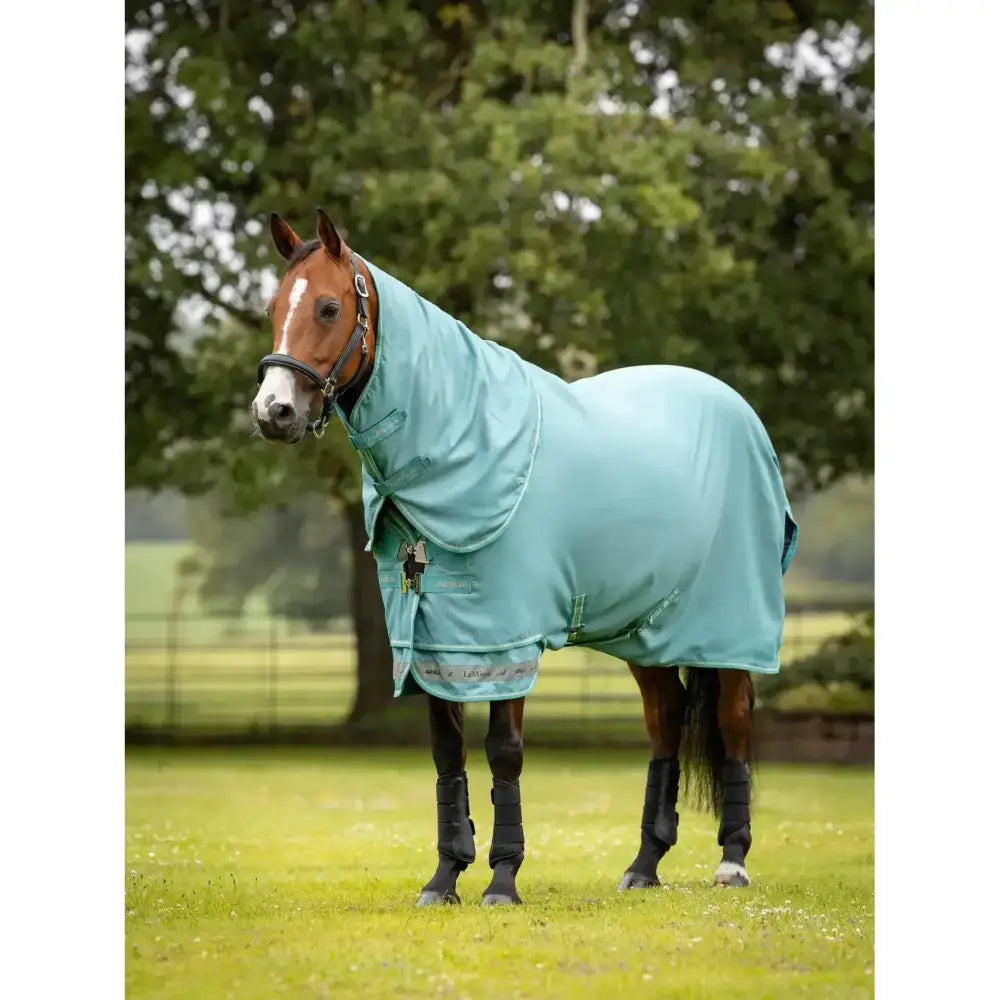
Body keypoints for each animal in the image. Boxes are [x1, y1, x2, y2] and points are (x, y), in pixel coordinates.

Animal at [251, 209, 798, 907]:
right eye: (273, 308)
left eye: (326, 306)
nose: (274, 412)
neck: (462, 435)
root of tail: (741, 414)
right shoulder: (436, 637)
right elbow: (447, 753)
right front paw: (445, 877)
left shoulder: (504, 636)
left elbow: (504, 752)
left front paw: (502, 880)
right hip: (645, 630)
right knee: (667, 720)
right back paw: (644, 865)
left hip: (728, 626)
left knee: (733, 721)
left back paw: (732, 861)